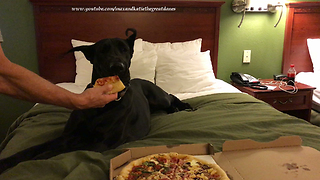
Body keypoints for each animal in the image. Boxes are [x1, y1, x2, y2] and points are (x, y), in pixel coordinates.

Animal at [0, 28, 191, 174]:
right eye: (102, 51)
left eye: (124, 49)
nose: (118, 67)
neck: (103, 107)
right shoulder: (67, 135)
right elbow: (33, 148)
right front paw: (9, 161)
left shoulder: (101, 143)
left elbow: (59, 150)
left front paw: (39, 158)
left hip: (158, 97)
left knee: (170, 96)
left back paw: (181, 107)